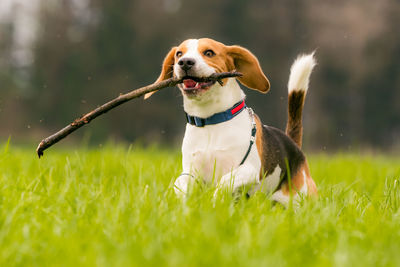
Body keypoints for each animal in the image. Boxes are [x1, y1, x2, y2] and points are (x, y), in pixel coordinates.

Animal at [145, 37, 318, 206]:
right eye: (179, 54)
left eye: (209, 53)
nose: (185, 62)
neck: (210, 121)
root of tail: (294, 145)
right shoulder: (190, 170)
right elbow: (179, 182)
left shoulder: (249, 169)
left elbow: (225, 181)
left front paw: (216, 201)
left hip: (300, 197)